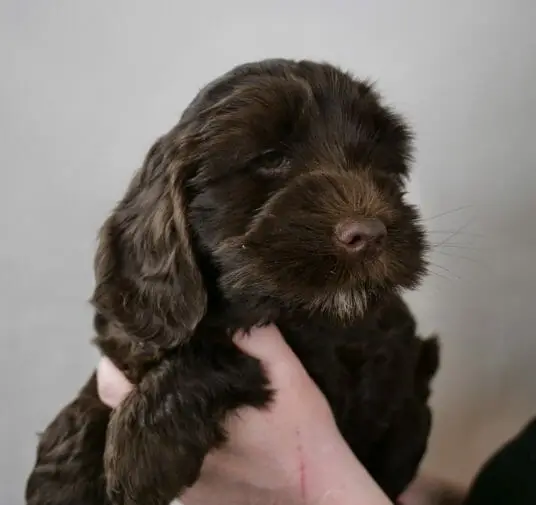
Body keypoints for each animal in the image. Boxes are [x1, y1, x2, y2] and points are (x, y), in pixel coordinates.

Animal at [24, 59, 440, 504]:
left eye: (381, 165)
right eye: (271, 158)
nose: (370, 234)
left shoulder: (338, 362)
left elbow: (216, 350)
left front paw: (144, 446)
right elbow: (112, 371)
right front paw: (62, 475)